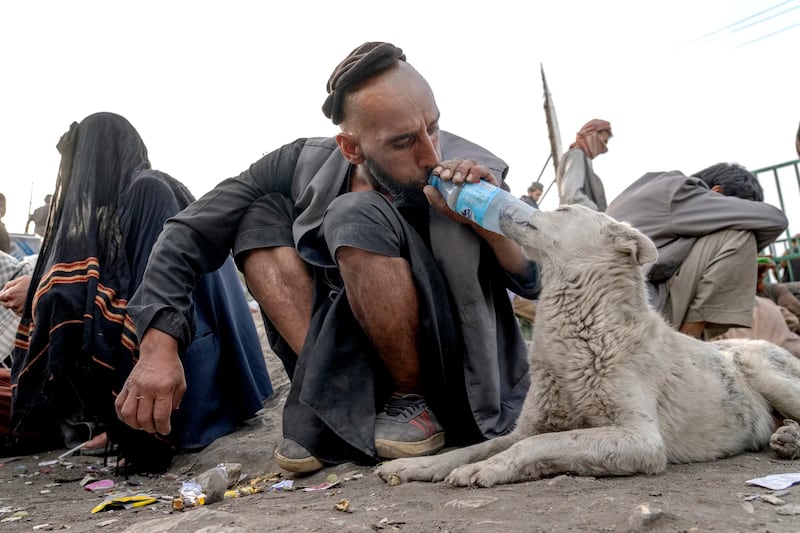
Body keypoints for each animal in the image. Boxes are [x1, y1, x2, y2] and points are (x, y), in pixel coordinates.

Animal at [376, 204, 800, 486]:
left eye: (563, 209)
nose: (508, 203)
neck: (586, 333)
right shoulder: (525, 427)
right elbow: (473, 447)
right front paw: (415, 467)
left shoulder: (640, 439)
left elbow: (545, 442)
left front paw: (487, 469)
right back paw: (788, 438)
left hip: (758, 366)